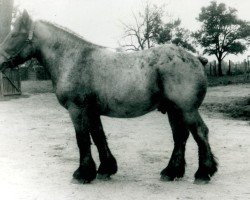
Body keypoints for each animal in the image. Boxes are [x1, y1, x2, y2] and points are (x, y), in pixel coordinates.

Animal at [0, 10, 217, 183]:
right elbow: (98, 137)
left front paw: (83, 174)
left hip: (186, 110)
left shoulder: (77, 110)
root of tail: (195, 58)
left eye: (14, 34)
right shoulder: (92, 111)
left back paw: (203, 173)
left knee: (200, 132)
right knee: (180, 137)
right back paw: (171, 172)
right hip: (174, 110)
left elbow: (82, 139)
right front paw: (105, 169)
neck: (74, 59)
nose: (0, 61)